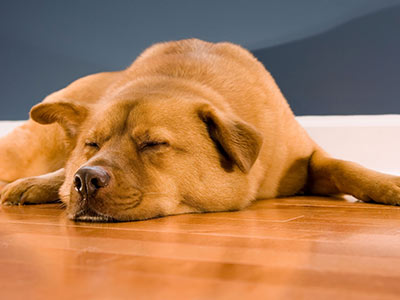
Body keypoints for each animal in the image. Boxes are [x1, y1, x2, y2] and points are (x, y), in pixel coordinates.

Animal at [0, 38, 400, 221]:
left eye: (153, 144)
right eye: (92, 143)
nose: (85, 179)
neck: (177, 78)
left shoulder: (309, 158)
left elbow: (345, 166)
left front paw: (388, 183)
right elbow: (61, 176)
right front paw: (44, 185)